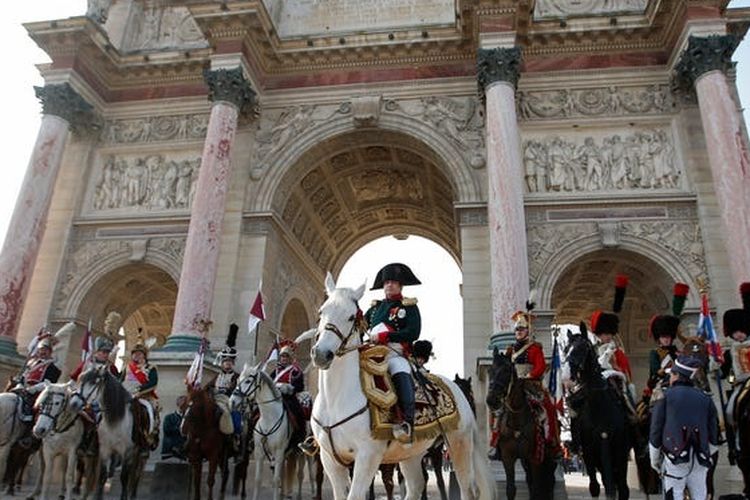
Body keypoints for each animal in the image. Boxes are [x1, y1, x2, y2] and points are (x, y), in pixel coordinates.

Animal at [72, 366, 148, 498]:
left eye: (94, 382)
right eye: (80, 379)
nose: (74, 403)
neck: (115, 421)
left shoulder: (126, 451)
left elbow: (124, 477)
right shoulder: (105, 449)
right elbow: (102, 475)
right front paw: (98, 495)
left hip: (139, 453)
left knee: (136, 472)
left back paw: (133, 493)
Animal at [234, 364, 298, 500]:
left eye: (248, 381)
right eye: (237, 380)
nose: (232, 400)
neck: (269, 418)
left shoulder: (279, 452)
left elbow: (275, 480)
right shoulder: (259, 451)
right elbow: (258, 480)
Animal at [296, 274, 496, 500]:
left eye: (350, 317)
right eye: (321, 312)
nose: (321, 354)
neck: (336, 399)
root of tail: (455, 389)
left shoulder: (368, 456)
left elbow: (355, 495)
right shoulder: (329, 459)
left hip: (458, 443)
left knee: (468, 489)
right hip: (412, 452)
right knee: (416, 485)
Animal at [488, 348, 560, 500]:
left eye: (506, 371)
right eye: (491, 370)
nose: (491, 400)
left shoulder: (535, 457)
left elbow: (536, 489)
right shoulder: (508, 457)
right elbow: (511, 489)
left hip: (547, 456)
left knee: (549, 480)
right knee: (530, 479)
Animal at [564, 328, 636, 500]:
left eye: (582, 348)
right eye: (566, 349)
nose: (567, 376)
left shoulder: (615, 448)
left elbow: (617, 489)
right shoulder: (589, 452)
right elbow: (596, 487)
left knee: (619, 486)